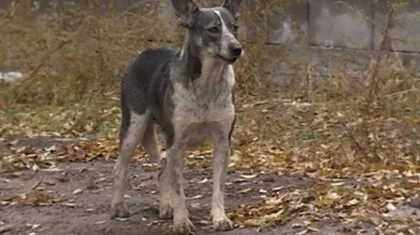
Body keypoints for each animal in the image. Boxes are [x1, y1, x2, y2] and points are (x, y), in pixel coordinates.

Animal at [110, 0, 244, 233]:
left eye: (234, 27)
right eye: (213, 29)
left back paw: (165, 208)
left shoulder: (222, 143)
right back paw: (118, 207)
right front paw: (182, 222)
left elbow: (218, 188)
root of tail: (141, 55)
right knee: (121, 168)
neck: (206, 85)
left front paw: (219, 218)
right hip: (133, 129)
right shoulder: (176, 143)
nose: (237, 48)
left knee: (162, 173)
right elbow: (179, 190)